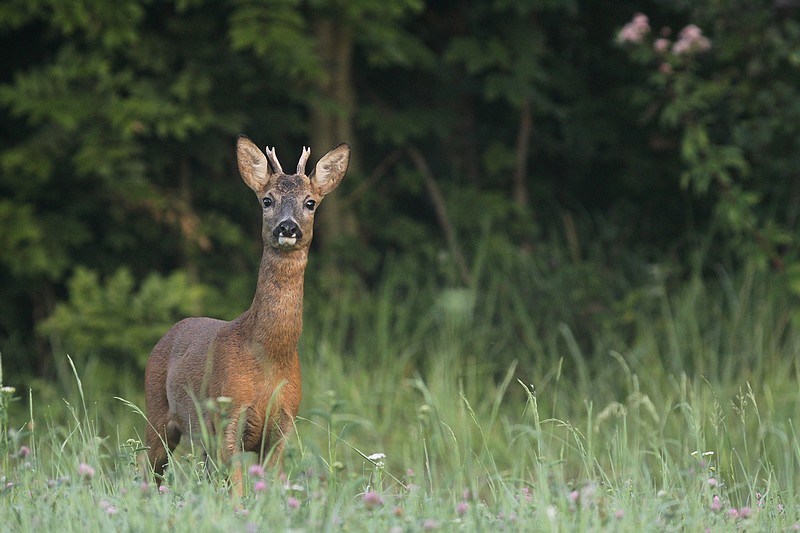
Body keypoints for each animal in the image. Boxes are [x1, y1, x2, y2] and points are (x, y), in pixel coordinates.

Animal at [145, 135, 350, 476]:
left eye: (310, 202)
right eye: (267, 200)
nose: (287, 227)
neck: (268, 357)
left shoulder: (283, 427)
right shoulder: (228, 418)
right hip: (156, 411)